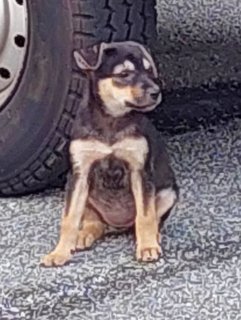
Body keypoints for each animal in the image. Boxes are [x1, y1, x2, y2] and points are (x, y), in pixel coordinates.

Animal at [41, 41, 177, 266]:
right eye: (124, 74)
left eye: (149, 72)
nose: (156, 92)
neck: (111, 120)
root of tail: (117, 226)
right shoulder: (79, 174)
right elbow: (69, 218)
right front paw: (58, 253)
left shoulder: (139, 172)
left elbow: (145, 215)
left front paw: (147, 247)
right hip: (87, 196)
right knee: (94, 223)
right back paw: (83, 235)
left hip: (169, 193)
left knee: (150, 218)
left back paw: (153, 237)